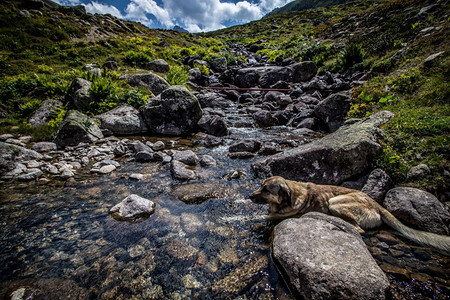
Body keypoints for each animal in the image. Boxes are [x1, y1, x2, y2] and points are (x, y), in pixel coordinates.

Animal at [250, 176, 450, 255]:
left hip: (335, 202)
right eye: (261, 186)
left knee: (359, 229)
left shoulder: (280, 216)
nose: (250, 196)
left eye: (266, 190)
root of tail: (376, 203)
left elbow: (262, 218)